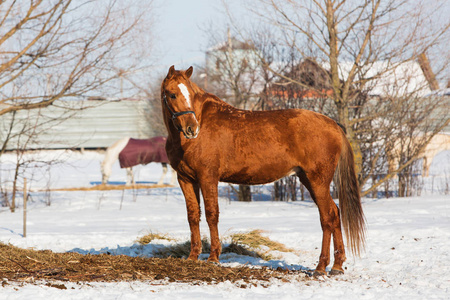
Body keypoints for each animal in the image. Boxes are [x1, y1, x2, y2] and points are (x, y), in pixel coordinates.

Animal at [162, 65, 366, 276]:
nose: (191, 128)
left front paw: (213, 258)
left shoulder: (208, 177)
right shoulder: (185, 179)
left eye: (191, 94)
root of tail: (334, 125)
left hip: (318, 181)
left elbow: (212, 214)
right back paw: (337, 266)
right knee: (334, 213)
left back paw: (320, 267)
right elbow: (193, 215)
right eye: (172, 94)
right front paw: (193, 256)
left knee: (328, 217)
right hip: (308, 180)